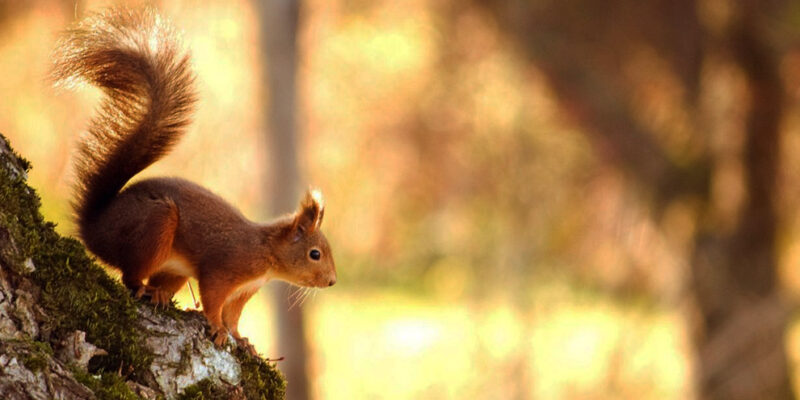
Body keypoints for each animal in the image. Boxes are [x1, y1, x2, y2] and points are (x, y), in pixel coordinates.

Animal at [51, 7, 336, 354]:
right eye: (315, 254)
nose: (332, 281)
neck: (266, 252)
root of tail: (94, 228)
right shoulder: (225, 269)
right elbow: (213, 300)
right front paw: (218, 329)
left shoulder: (245, 290)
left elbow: (234, 314)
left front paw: (241, 339)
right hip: (155, 226)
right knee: (130, 277)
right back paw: (145, 289)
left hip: (173, 265)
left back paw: (160, 293)